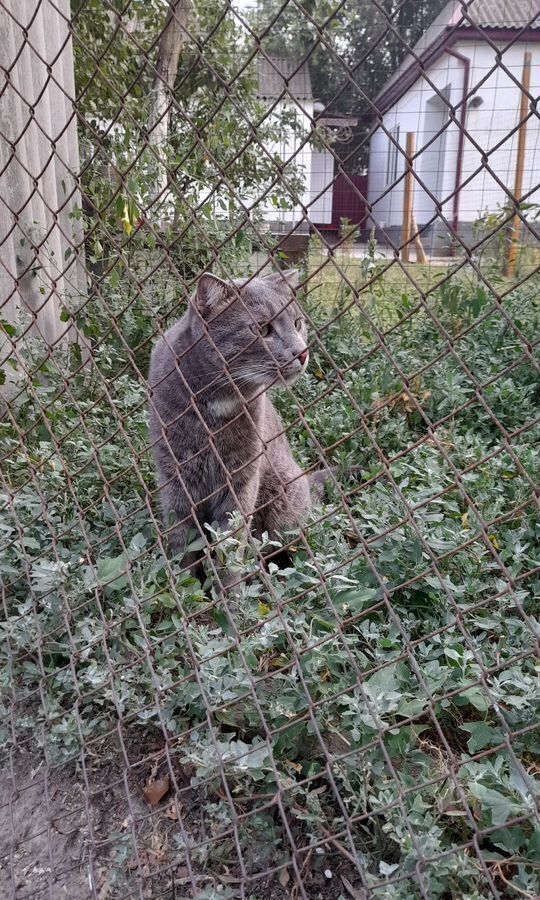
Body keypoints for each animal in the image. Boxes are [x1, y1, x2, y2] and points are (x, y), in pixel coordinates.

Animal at [148, 270, 316, 572]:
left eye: (297, 323)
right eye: (262, 329)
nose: (303, 351)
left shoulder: (241, 479)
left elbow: (230, 544)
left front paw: (228, 584)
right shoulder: (174, 479)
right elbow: (182, 544)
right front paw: (182, 581)